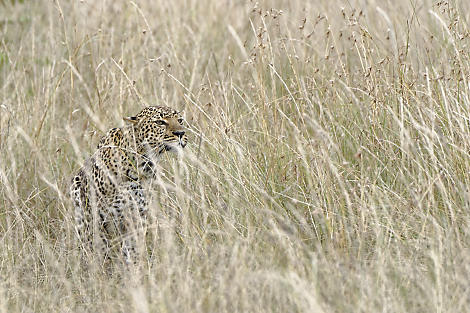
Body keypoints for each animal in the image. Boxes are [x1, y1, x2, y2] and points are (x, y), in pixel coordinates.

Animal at [70, 106, 187, 264]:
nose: (180, 133)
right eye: (160, 122)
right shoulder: (95, 216)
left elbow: (133, 249)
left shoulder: (137, 216)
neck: (143, 162)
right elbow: (99, 248)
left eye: (180, 120)